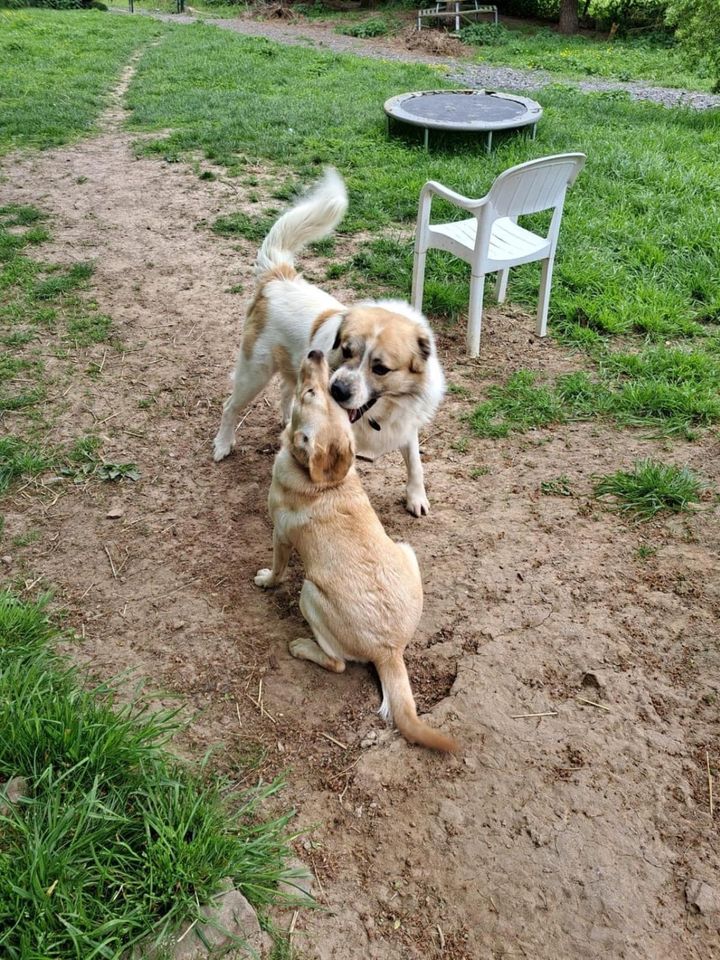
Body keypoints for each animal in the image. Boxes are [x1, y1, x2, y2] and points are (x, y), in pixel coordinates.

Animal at [253, 348, 456, 752]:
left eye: (310, 394)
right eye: (324, 395)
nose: (316, 352)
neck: (325, 481)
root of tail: (389, 651)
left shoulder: (281, 537)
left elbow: (277, 569)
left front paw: (266, 580)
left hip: (309, 594)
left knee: (337, 663)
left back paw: (303, 647)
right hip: (405, 549)